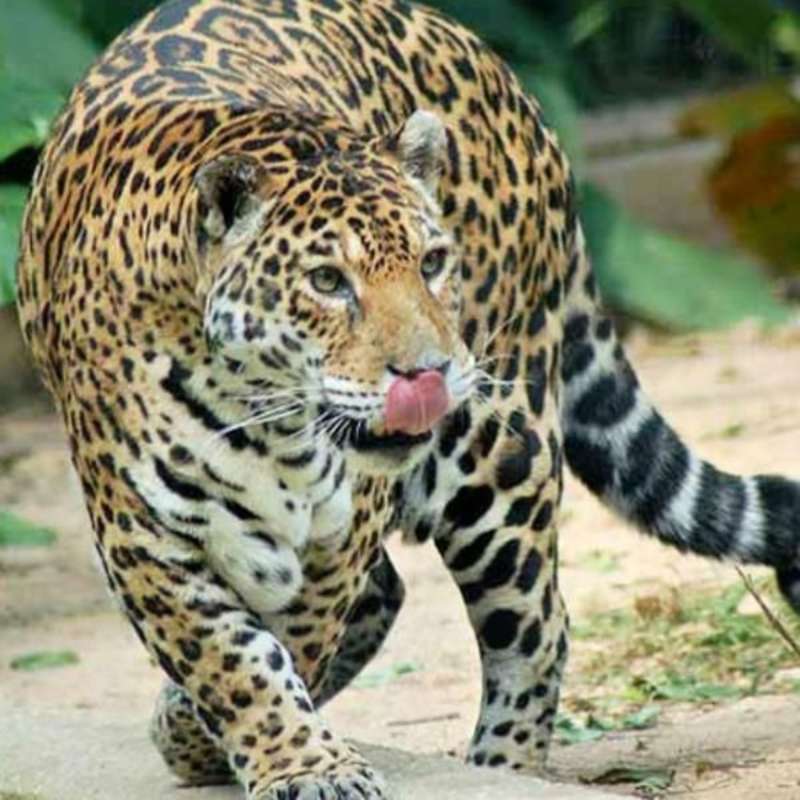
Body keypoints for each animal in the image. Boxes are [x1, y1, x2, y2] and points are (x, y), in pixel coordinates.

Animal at [16, 0, 800, 797]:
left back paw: (498, 766)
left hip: (499, 457)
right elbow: (230, 661)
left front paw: (236, 740)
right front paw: (292, 757)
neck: (266, 416)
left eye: (432, 262)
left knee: (535, 629)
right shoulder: (144, 536)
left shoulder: (341, 531)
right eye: (327, 281)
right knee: (394, 596)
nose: (427, 373)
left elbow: (293, 636)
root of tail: (499, 71)